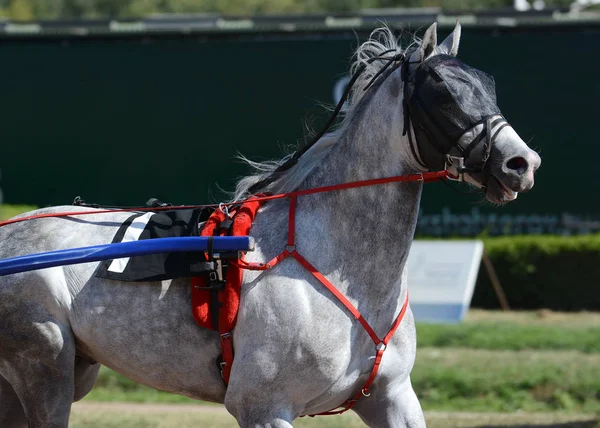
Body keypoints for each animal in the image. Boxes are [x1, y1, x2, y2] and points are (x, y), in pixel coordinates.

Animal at [0, 24, 540, 428]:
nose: (521, 163)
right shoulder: (263, 406)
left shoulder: (391, 396)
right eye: (443, 92)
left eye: (488, 85)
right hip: (43, 363)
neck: (341, 266)